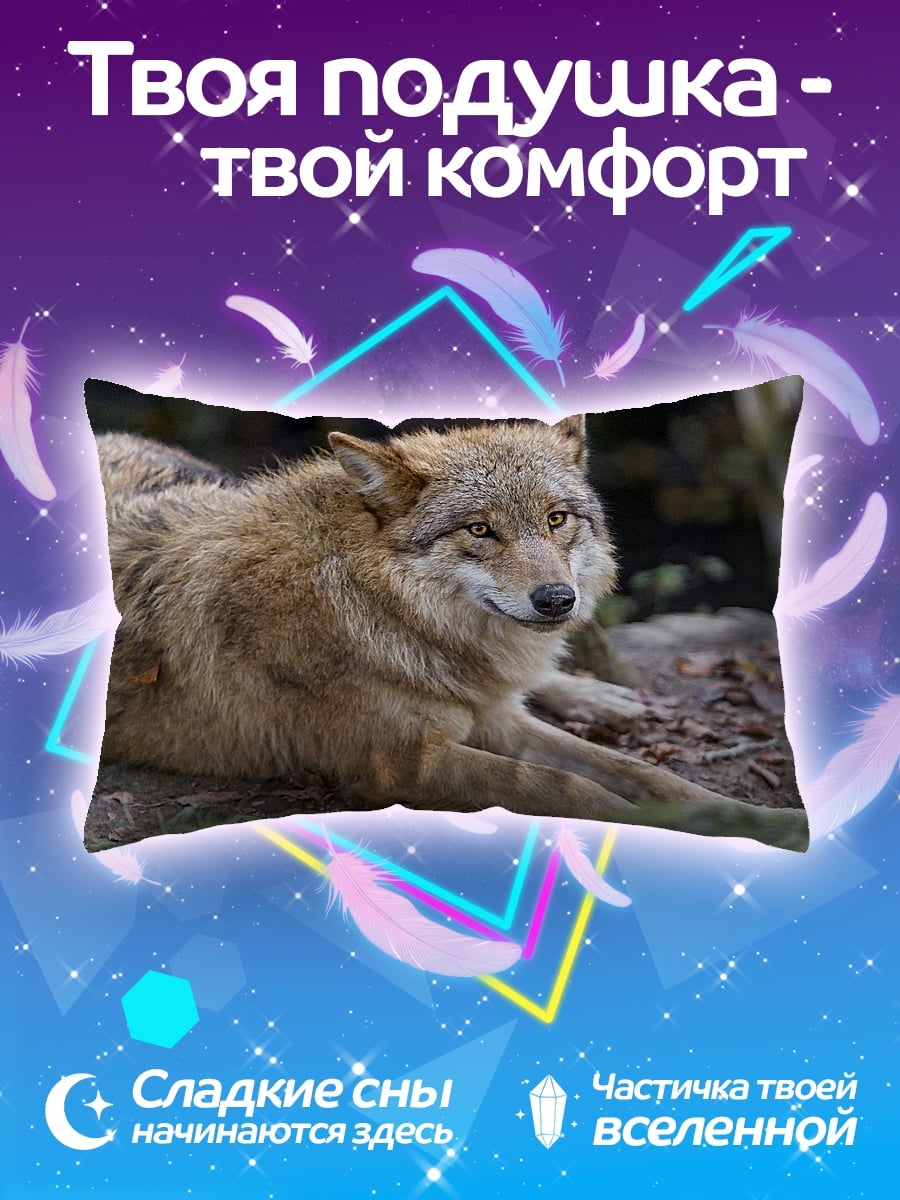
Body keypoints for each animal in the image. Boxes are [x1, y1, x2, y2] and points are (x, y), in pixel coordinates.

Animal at [96, 417, 807, 849]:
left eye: (556, 519)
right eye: (480, 530)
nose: (558, 600)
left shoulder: (494, 721)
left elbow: (646, 773)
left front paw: (760, 818)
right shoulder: (400, 762)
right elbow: (571, 787)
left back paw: (603, 697)